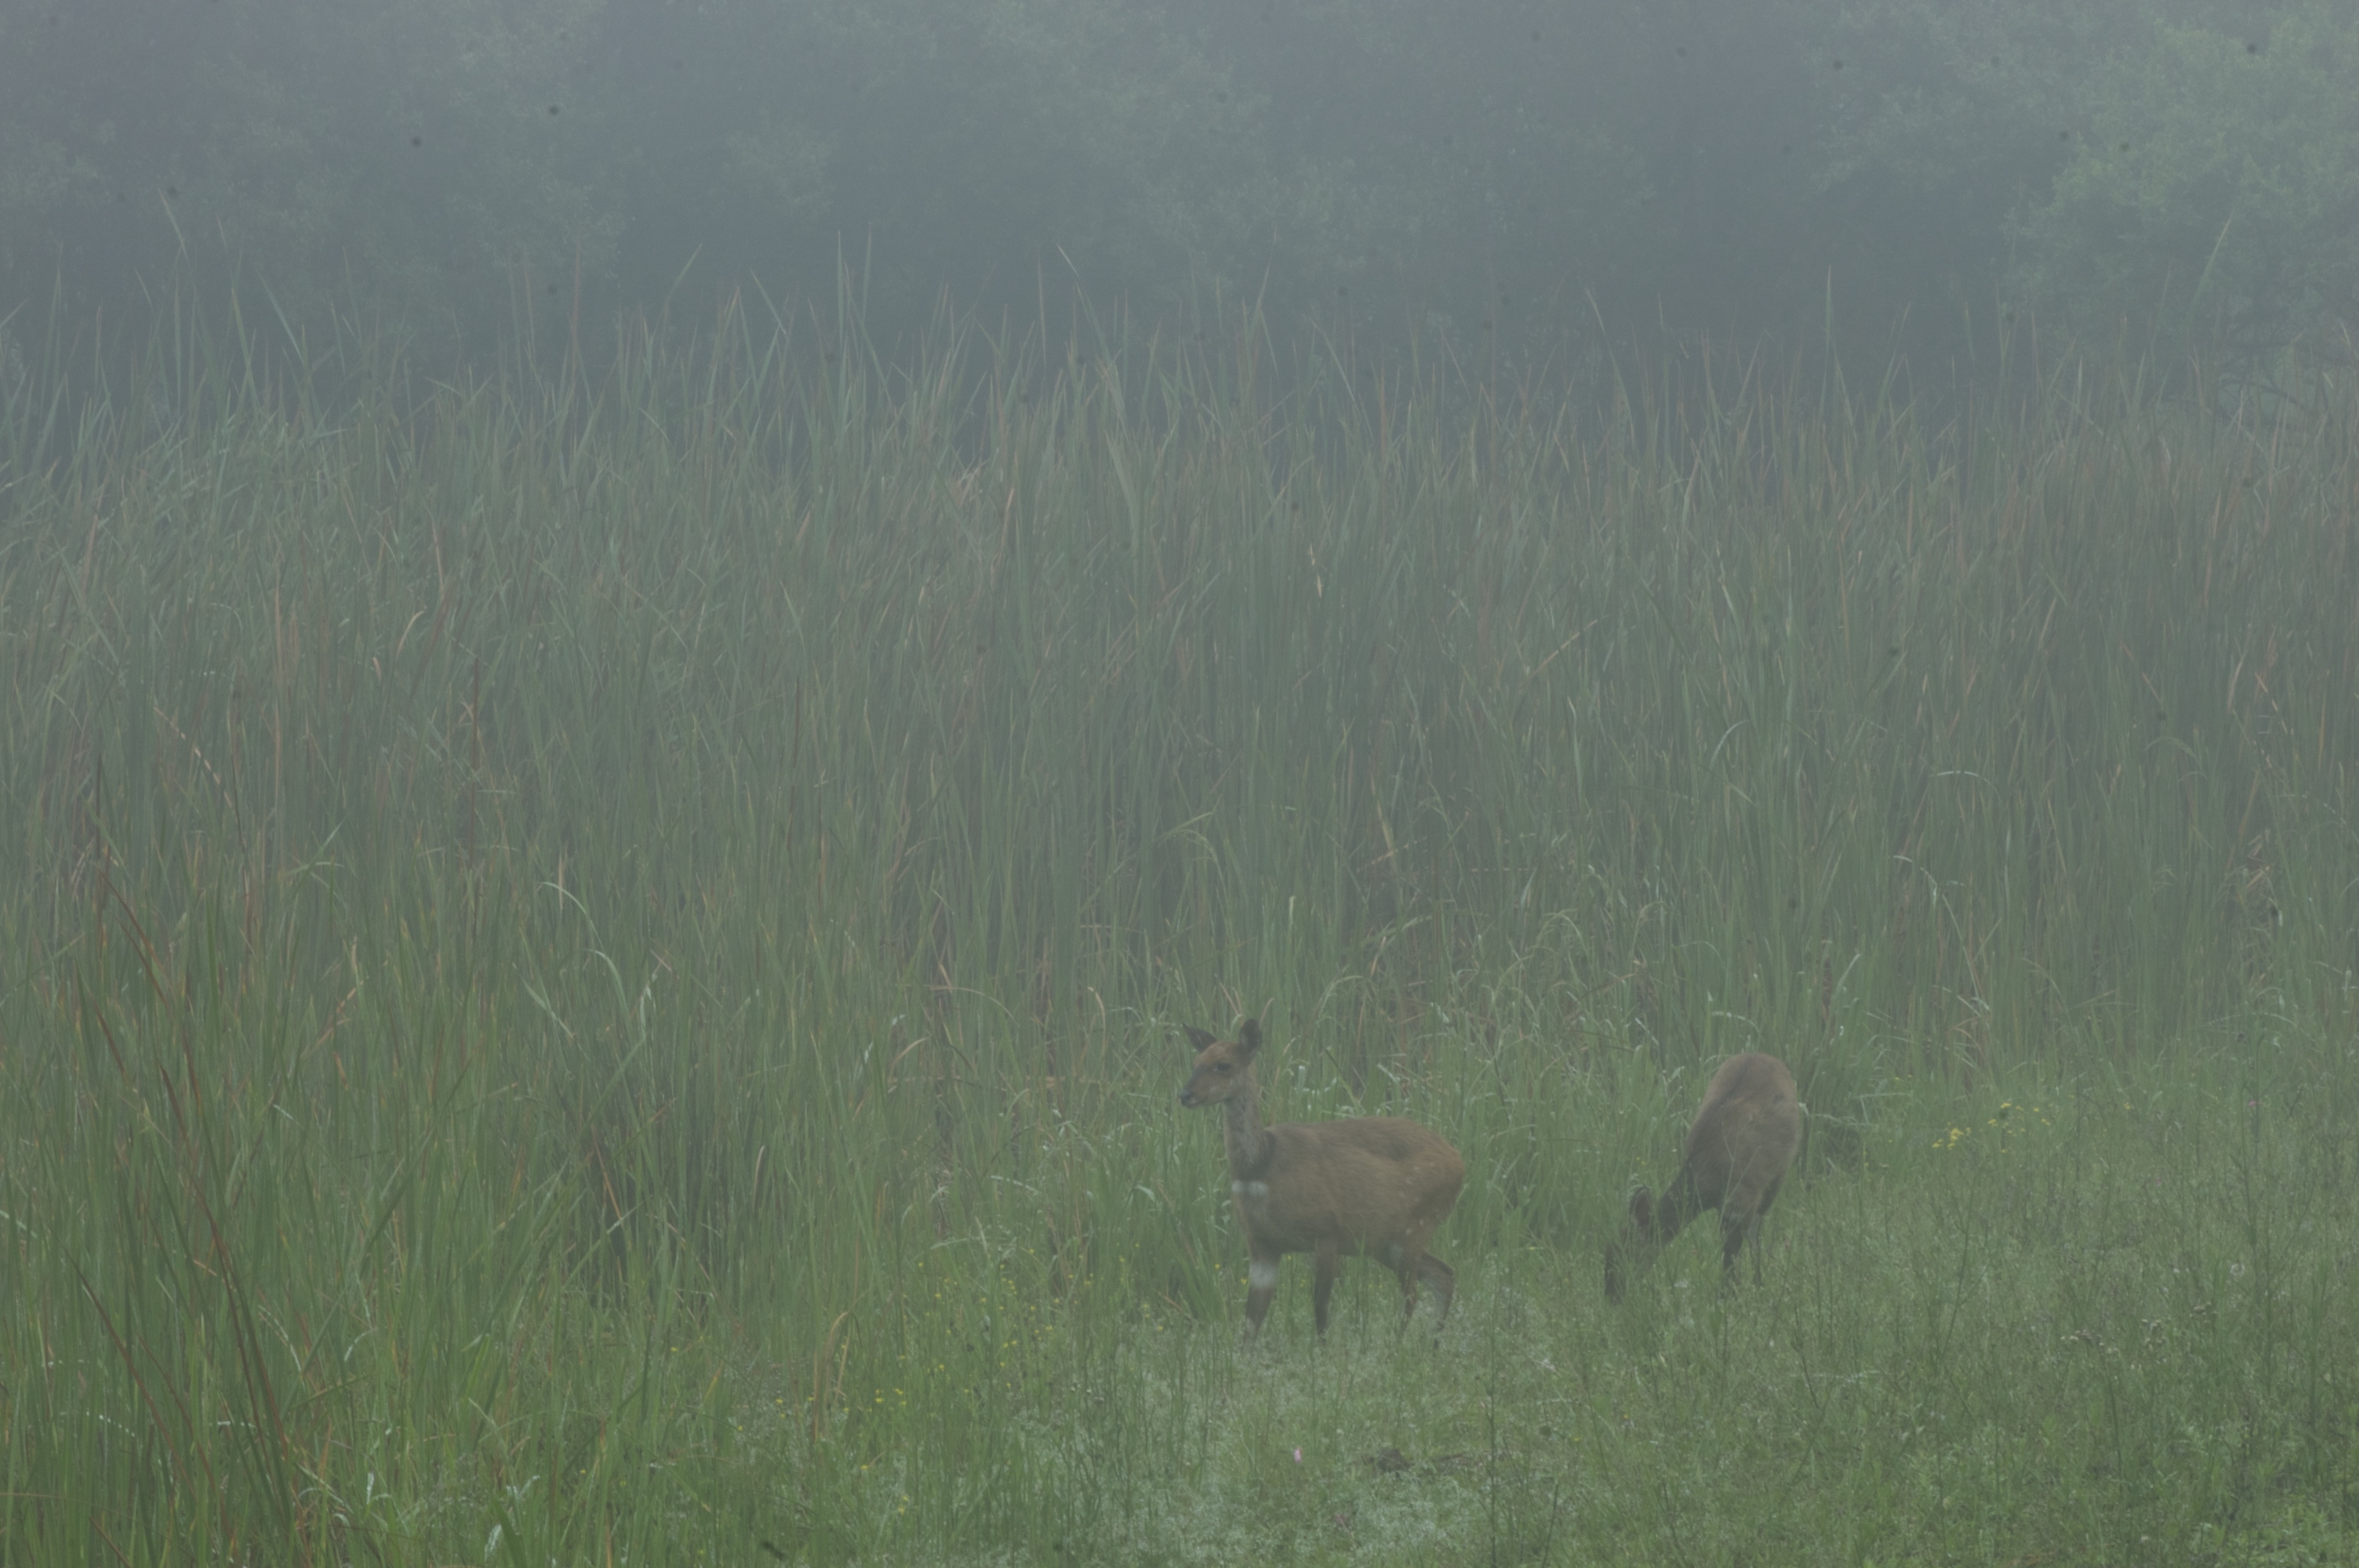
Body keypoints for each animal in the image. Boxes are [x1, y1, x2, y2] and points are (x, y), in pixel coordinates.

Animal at [1174, 1023, 1462, 1339]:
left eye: (1223, 1065)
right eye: (1196, 1062)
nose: (1185, 1095)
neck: (1261, 1168)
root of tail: (1459, 1162)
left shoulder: (1325, 1233)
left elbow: (1320, 1312)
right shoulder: (1261, 1244)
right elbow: (1251, 1323)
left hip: (1414, 1227)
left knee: (1412, 1295)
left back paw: (1399, 1343)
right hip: (1386, 1244)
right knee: (1444, 1275)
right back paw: (1432, 1342)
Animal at [1604, 1051, 1802, 1292]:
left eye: (1622, 1257)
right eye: (1607, 1254)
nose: (1611, 1294)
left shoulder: (1744, 1194)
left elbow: (1734, 1251)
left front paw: (1735, 1293)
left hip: (1779, 1173)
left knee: (1756, 1230)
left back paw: (1757, 1281)